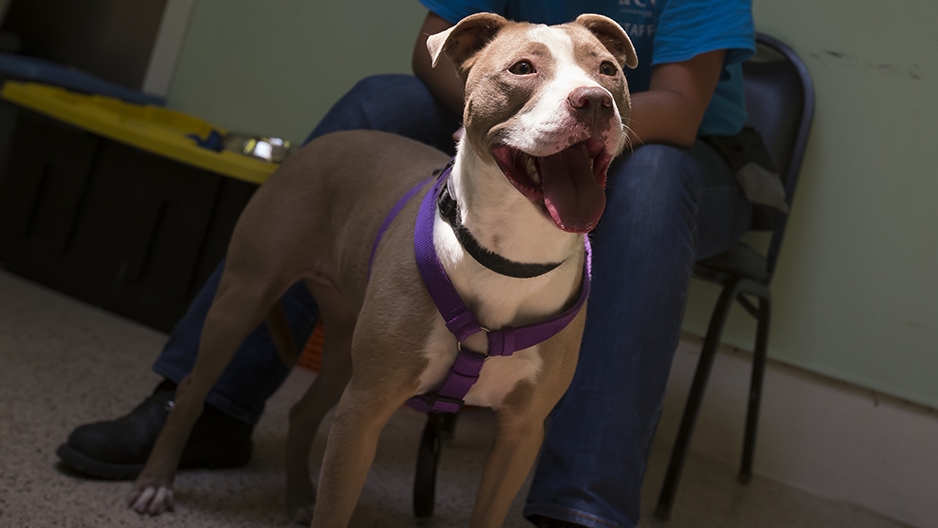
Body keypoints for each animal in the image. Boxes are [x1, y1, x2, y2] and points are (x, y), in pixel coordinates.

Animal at [128, 12, 636, 528]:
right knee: (192, 388)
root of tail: (324, 140)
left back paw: (298, 498)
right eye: (522, 68)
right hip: (243, 297)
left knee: (303, 412)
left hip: (341, 346)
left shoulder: (521, 435)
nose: (595, 100)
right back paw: (155, 483)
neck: (509, 258)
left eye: (608, 69)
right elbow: (335, 508)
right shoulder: (364, 409)